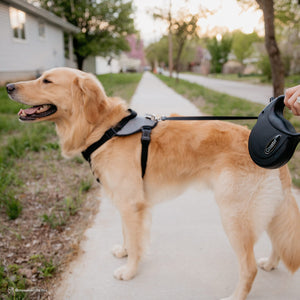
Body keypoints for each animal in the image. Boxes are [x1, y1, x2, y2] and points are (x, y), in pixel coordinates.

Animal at [5, 68, 300, 300]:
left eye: (47, 81)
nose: (8, 86)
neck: (103, 129)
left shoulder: (132, 204)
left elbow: (137, 242)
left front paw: (129, 271)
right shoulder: (125, 202)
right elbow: (127, 234)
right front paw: (124, 252)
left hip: (234, 216)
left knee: (248, 268)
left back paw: (236, 295)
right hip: (266, 210)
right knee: (276, 242)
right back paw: (271, 263)